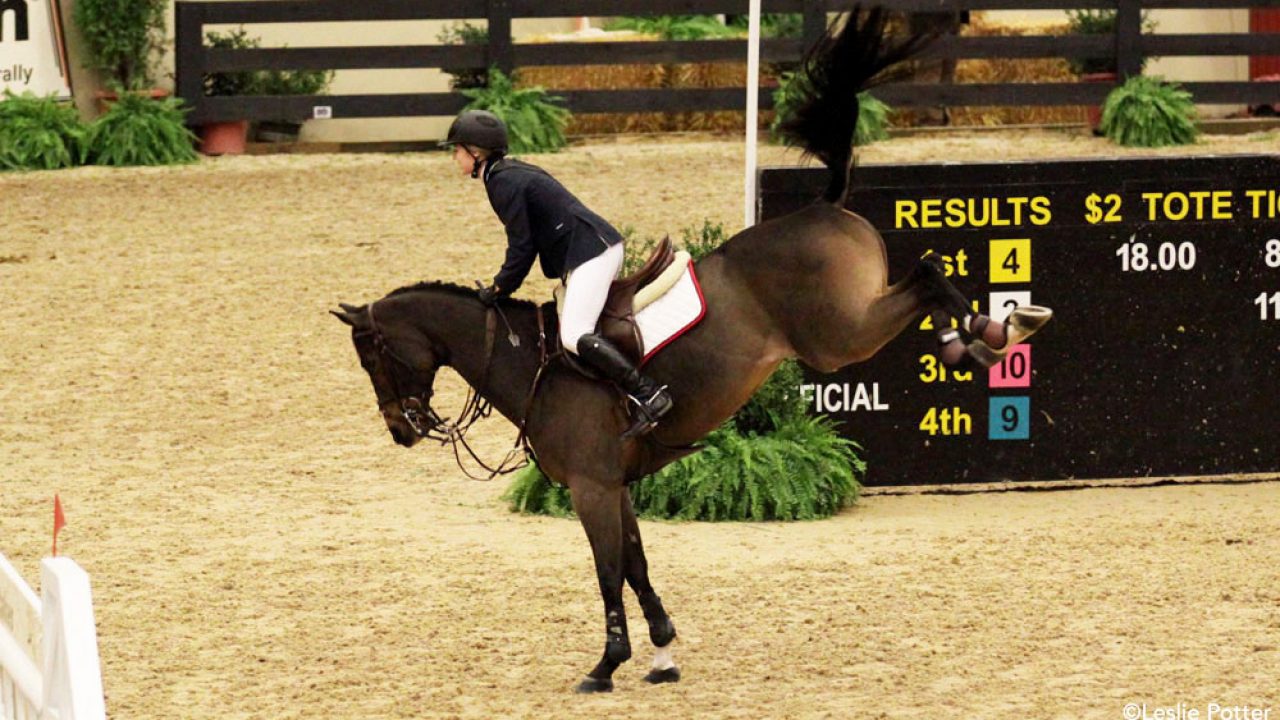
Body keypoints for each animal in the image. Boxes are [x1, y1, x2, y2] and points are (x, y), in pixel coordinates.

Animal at [332, 8, 1051, 693]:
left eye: (373, 357)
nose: (401, 430)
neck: (526, 363)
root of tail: (824, 207)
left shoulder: (591, 487)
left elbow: (607, 574)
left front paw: (606, 664)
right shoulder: (616, 485)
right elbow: (638, 567)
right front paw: (661, 653)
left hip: (837, 339)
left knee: (927, 272)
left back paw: (998, 332)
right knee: (925, 281)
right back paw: (976, 340)